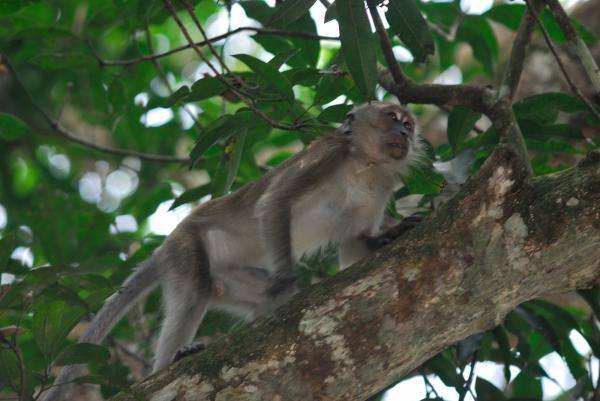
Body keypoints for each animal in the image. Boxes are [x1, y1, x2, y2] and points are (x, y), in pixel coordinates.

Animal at [44, 102, 424, 400]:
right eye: (392, 117)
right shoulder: (329, 154)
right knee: (194, 291)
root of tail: (167, 244)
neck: (365, 164)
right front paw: (285, 279)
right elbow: (274, 202)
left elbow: (353, 245)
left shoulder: (383, 184)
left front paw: (388, 236)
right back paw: (171, 362)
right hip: (186, 248)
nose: (404, 135)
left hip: (226, 277)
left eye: (408, 124)